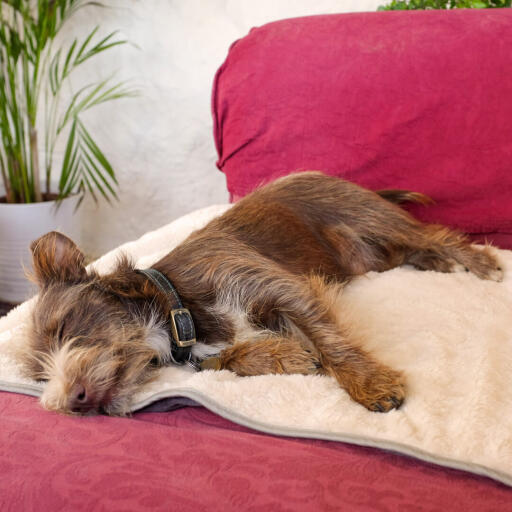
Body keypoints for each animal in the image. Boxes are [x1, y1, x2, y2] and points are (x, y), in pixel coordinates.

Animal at [21, 172, 504, 416]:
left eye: (65, 326)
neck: (176, 310)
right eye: (41, 378)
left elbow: (330, 341)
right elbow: (233, 358)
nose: (71, 403)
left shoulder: (282, 288)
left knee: (438, 234)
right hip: (371, 257)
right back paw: (440, 264)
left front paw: (369, 383)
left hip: (373, 218)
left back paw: (479, 263)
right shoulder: (209, 351)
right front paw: (284, 355)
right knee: (415, 250)